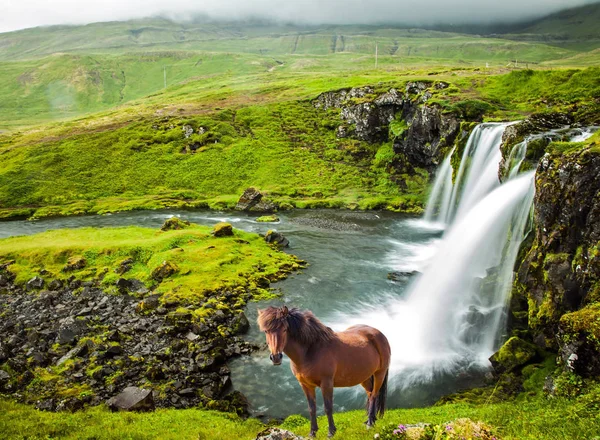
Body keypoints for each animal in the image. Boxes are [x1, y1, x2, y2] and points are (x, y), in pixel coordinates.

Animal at [256, 306, 390, 436]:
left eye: (284, 329)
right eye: (266, 331)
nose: (276, 357)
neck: (310, 351)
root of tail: (379, 333)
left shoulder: (326, 384)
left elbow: (328, 407)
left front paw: (331, 432)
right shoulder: (305, 385)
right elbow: (312, 408)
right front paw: (312, 432)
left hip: (380, 373)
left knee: (374, 395)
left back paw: (370, 423)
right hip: (365, 377)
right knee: (370, 393)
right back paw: (369, 420)